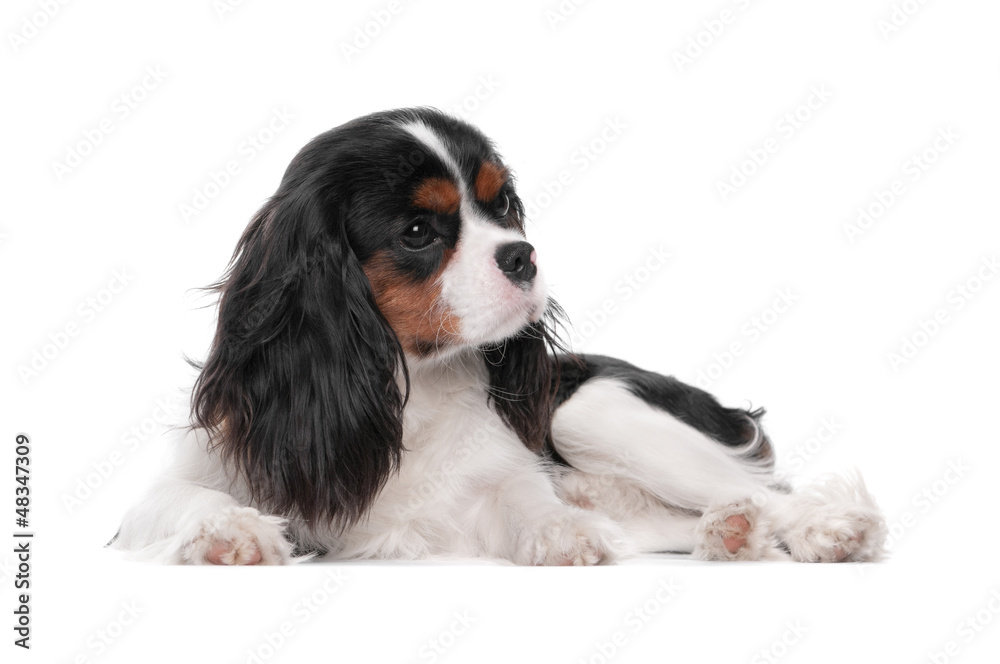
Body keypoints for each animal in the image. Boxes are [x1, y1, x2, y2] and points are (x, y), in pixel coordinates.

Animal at [113, 109, 888, 564]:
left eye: (505, 206)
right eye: (418, 232)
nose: (523, 254)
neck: (408, 388)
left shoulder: (495, 486)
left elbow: (526, 499)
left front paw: (561, 531)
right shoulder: (192, 479)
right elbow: (186, 500)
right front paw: (232, 534)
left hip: (589, 411)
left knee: (770, 491)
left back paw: (822, 530)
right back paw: (727, 535)